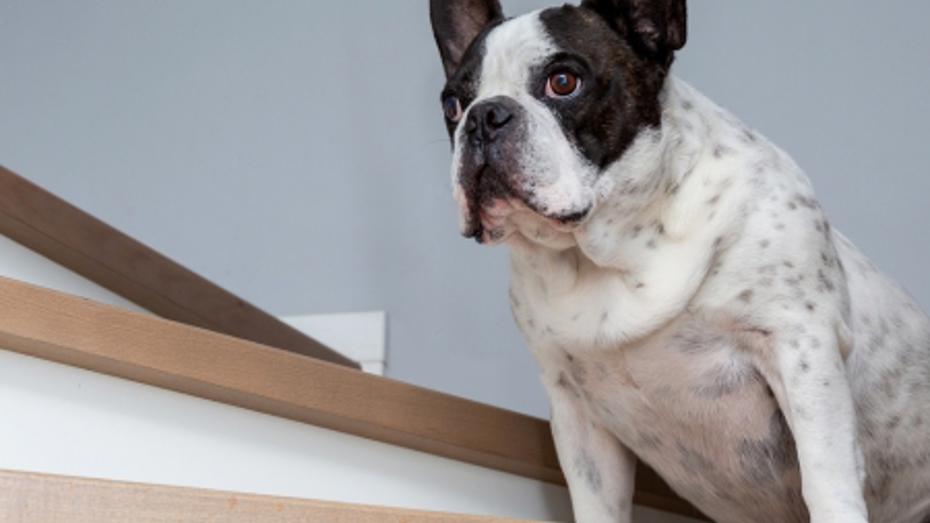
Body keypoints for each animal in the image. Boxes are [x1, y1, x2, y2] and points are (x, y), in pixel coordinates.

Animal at [428, 1, 928, 523]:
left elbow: (826, 477)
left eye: (563, 82)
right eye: (452, 106)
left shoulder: (800, 350)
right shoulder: (576, 410)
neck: (612, 252)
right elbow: (595, 499)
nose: (484, 116)